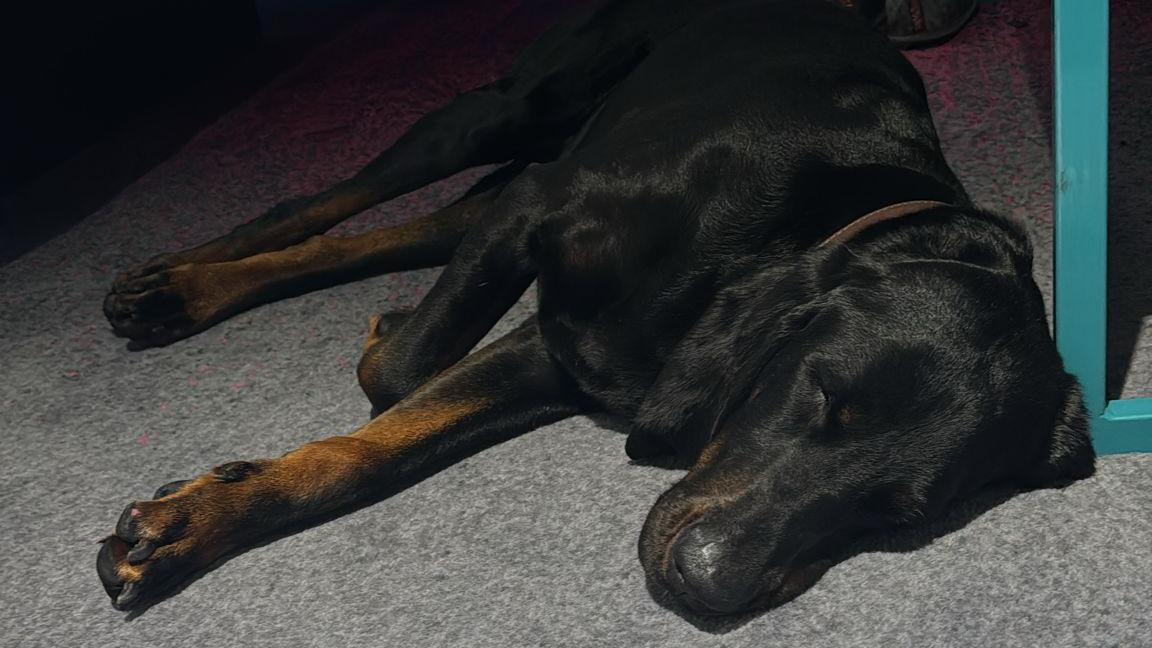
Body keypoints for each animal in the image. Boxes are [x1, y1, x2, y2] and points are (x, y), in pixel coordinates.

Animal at [94, 0, 1092, 613]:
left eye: (897, 515)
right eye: (821, 394)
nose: (705, 584)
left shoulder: (567, 354)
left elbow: (370, 449)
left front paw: (194, 524)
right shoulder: (540, 218)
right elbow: (398, 374)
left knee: (410, 226)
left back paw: (182, 292)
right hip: (516, 109)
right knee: (325, 201)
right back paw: (180, 279)